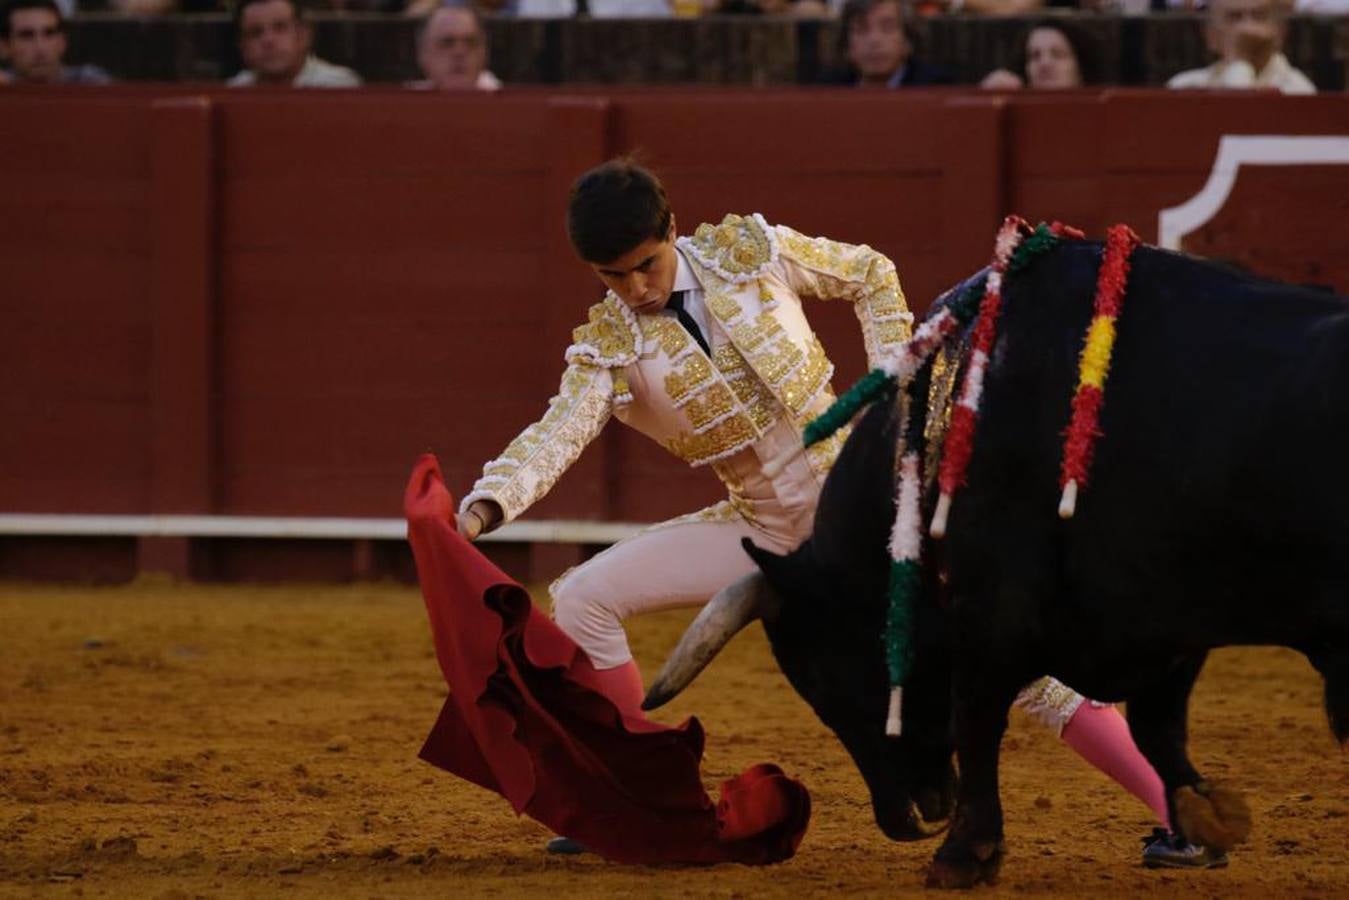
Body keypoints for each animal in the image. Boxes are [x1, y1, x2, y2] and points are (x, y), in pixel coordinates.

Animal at [644, 238, 1349, 885]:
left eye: (820, 684)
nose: (909, 819)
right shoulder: (1164, 616)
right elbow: (1156, 727)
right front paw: (1208, 816)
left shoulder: (993, 613)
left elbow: (979, 718)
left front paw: (963, 853)